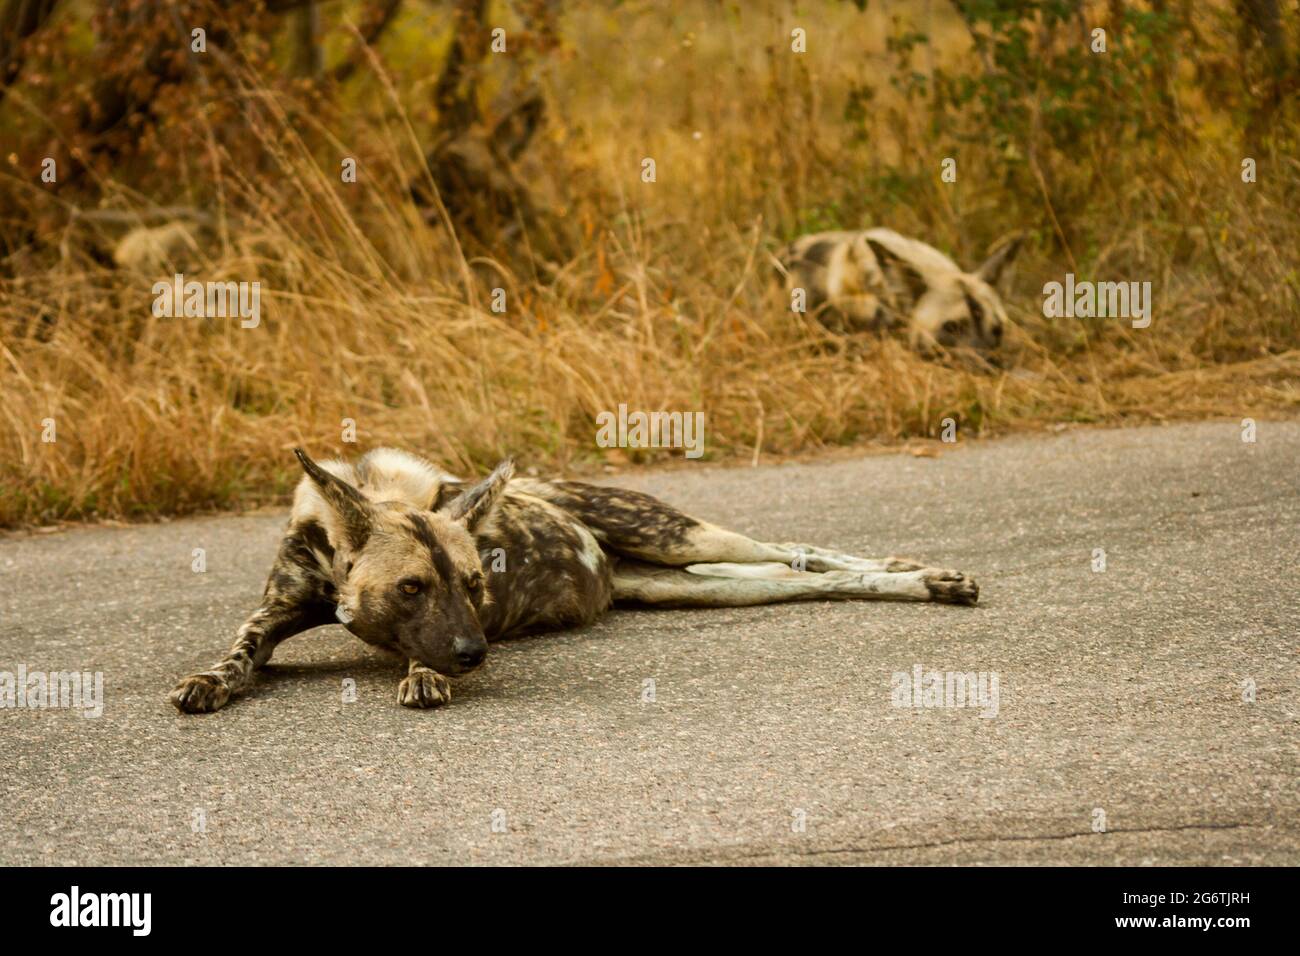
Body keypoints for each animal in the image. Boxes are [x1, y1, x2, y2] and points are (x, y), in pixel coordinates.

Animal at [167, 447, 977, 712]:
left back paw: (927, 576)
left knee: (798, 551)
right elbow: (241, 651)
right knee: (791, 575)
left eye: (475, 583)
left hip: (679, 537)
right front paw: (209, 681)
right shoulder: (275, 611)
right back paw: (919, 579)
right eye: (412, 588)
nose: (475, 655)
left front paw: (423, 677)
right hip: (695, 581)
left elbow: (414, 654)